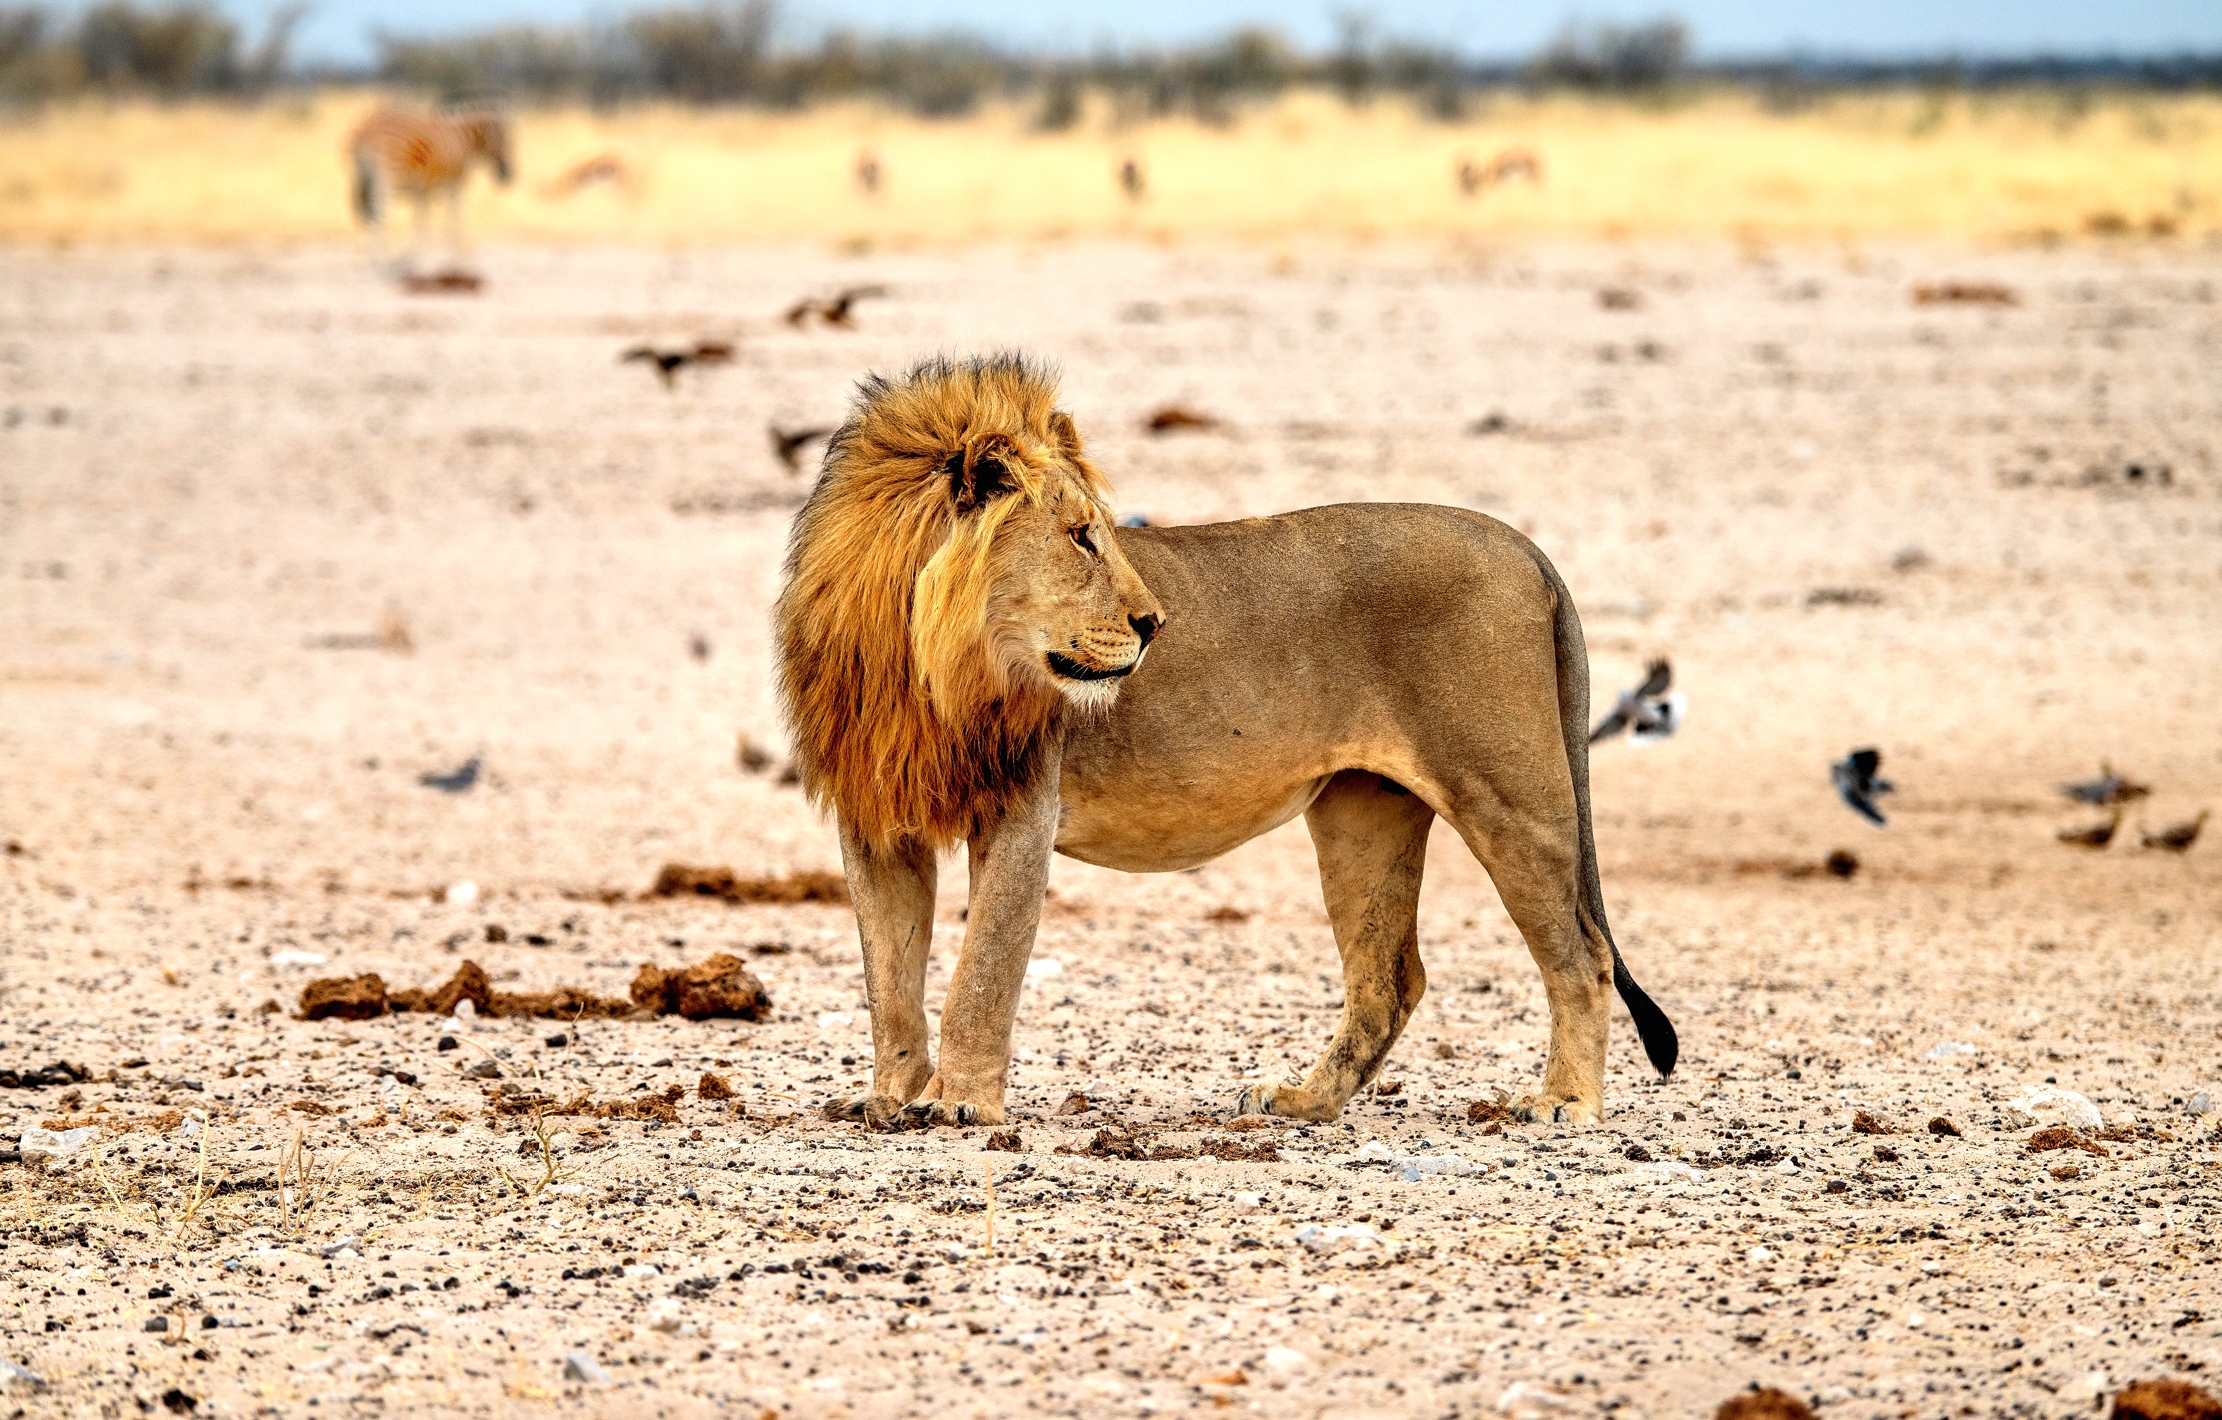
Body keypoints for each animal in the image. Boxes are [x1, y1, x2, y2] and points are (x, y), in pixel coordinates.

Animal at [348, 106, 513, 268]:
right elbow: (453, 221)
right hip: (388, 184)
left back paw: (369, 260)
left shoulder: (423, 191)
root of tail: (367, 130)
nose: (508, 176)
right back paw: (380, 262)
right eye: (502, 141)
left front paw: (419, 258)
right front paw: (458, 257)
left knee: (365, 217)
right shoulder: (453, 188)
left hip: (363, 184)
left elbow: (421, 223)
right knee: (377, 219)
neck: (464, 141)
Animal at [773, 355, 1670, 1133]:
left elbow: (981, 975)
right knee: (1389, 979)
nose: (1155, 622)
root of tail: (1525, 548)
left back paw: (1565, 1103)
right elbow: (890, 984)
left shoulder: (1024, 809)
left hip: (1507, 796)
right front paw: (889, 1100)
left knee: (1582, 955)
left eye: (1104, 532)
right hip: (1362, 815)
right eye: (1081, 537)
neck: (919, 657)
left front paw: (959, 1104)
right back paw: (1303, 1101)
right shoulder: (876, 821)